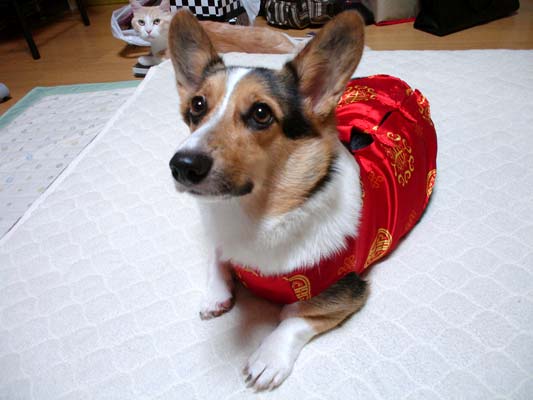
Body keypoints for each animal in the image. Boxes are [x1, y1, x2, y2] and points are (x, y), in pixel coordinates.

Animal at [168, 10, 437, 391]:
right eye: (197, 105)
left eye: (261, 113)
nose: (182, 165)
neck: (257, 217)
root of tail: (404, 88)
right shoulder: (224, 240)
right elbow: (217, 259)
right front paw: (215, 297)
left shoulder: (346, 290)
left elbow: (294, 316)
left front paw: (268, 358)